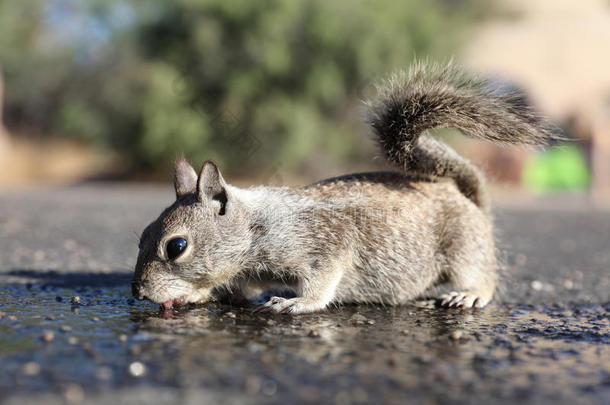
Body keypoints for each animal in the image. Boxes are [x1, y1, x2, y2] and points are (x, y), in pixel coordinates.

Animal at [132, 60, 556, 312]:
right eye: (141, 236)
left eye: (176, 246)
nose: (138, 293)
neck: (257, 226)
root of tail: (464, 196)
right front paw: (200, 294)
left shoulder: (324, 243)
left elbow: (323, 281)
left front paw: (297, 303)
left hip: (465, 249)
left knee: (484, 277)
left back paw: (468, 294)